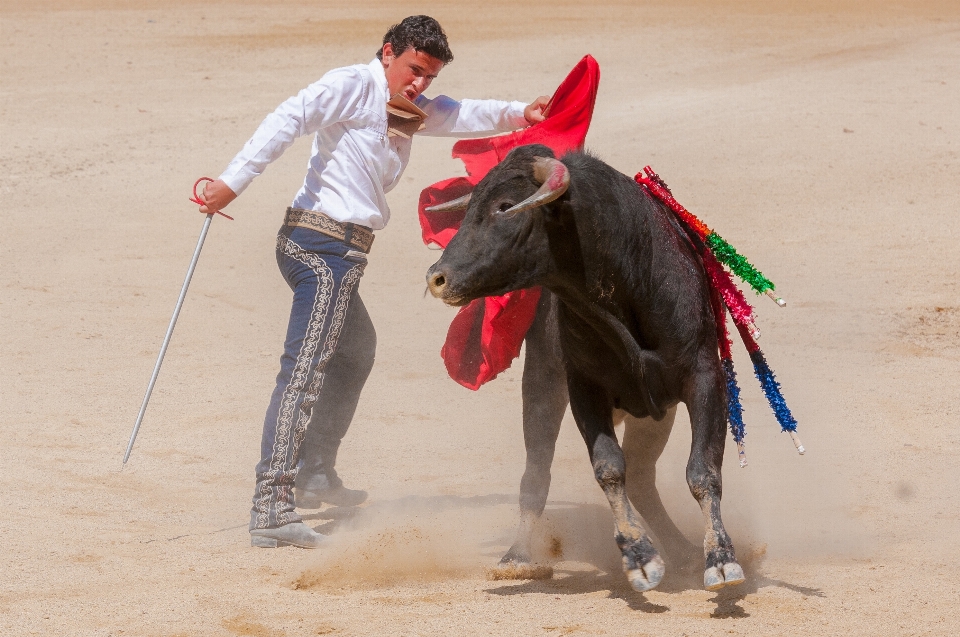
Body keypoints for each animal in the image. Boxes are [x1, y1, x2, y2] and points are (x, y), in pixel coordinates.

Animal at [424, 144, 748, 592]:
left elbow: (703, 470)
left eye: (505, 206)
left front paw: (721, 560)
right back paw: (517, 556)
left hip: (653, 415)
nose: (437, 278)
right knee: (537, 473)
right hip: (542, 383)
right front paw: (639, 558)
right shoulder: (584, 388)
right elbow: (609, 467)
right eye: (470, 206)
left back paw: (683, 551)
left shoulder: (704, 378)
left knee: (643, 478)